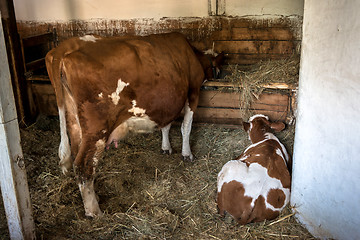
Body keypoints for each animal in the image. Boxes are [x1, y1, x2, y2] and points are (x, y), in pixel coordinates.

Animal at [45, 32, 224, 218]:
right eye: (219, 67)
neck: (192, 53)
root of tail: (66, 46)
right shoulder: (193, 92)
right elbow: (186, 127)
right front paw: (187, 153)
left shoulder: (167, 103)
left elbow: (166, 126)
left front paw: (166, 147)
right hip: (97, 129)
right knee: (83, 165)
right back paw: (95, 211)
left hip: (74, 122)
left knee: (75, 154)